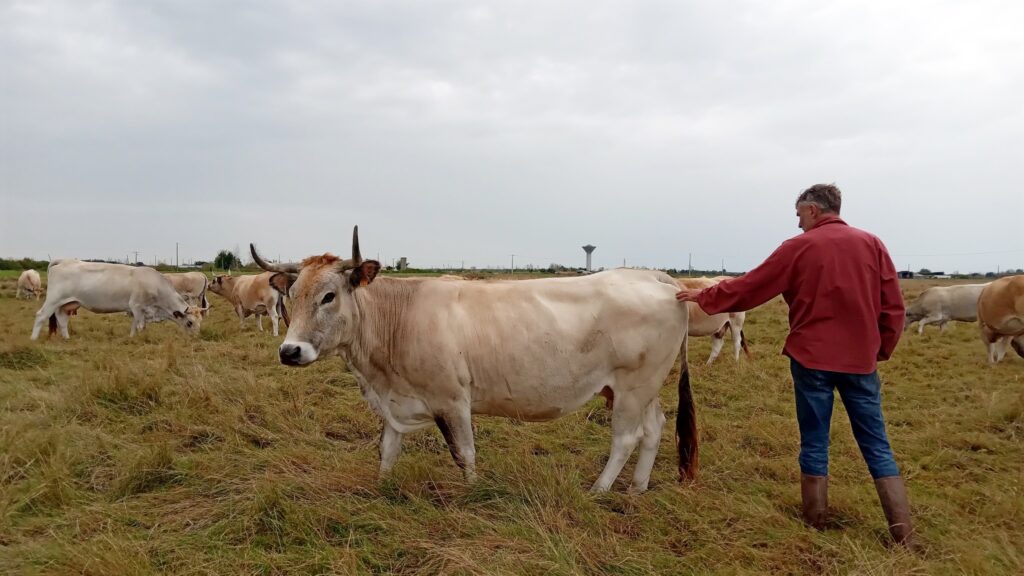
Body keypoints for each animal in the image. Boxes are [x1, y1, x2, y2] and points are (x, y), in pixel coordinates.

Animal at [29, 259, 203, 338]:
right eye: (190, 322)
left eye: (200, 322)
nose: (196, 337)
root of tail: (64, 260)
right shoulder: (137, 306)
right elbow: (140, 326)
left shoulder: (136, 310)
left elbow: (134, 326)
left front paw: (131, 338)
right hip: (53, 300)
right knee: (40, 316)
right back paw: (33, 339)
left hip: (68, 303)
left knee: (62, 319)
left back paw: (66, 338)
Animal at [249, 226, 696, 491]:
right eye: (291, 295)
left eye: (329, 296)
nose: (290, 351)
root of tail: (652, 276)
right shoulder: (394, 401)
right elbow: (387, 450)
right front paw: (381, 489)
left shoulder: (452, 400)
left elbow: (464, 453)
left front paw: (473, 494)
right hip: (637, 389)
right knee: (654, 429)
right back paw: (636, 490)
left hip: (633, 387)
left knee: (626, 437)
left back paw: (599, 491)